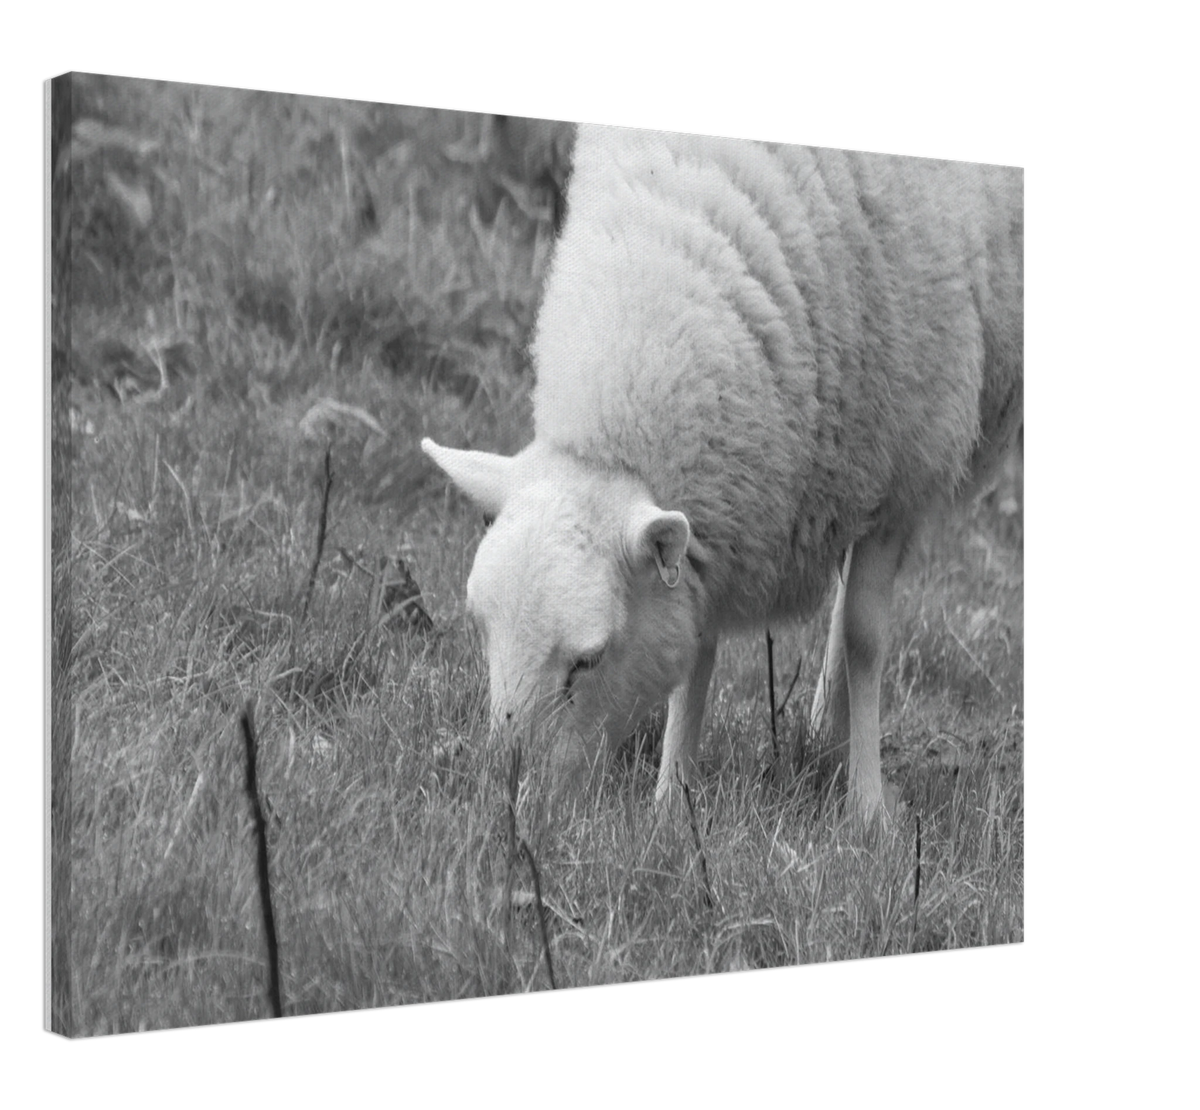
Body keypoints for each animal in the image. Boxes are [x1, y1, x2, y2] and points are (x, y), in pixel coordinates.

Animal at [422, 124, 1025, 822]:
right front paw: (670, 803)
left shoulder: (904, 472)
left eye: (589, 660)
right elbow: (697, 653)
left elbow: (866, 637)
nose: (513, 805)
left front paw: (868, 808)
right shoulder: (716, 516)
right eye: (482, 627)